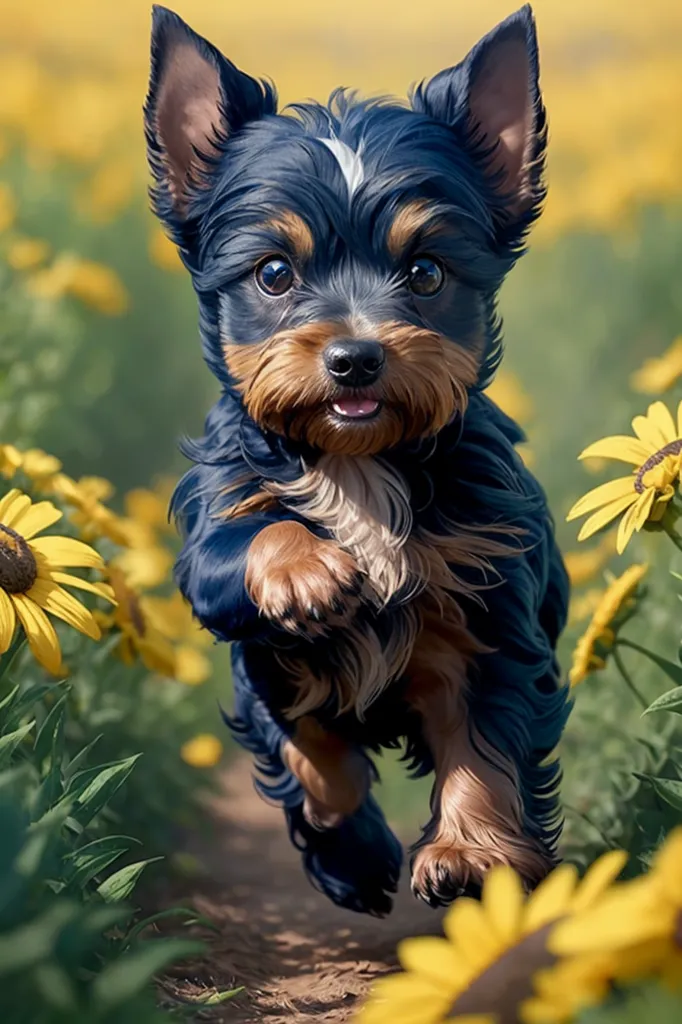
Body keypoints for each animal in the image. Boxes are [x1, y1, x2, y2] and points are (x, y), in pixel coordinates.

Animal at [143, 0, 569, 913]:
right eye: (273, 273)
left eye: (426, 272)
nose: (355, 358)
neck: (357, 462)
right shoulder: (227, 574)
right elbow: (313, 751)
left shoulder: (492, 612)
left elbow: (484, 745)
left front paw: (470, 854)